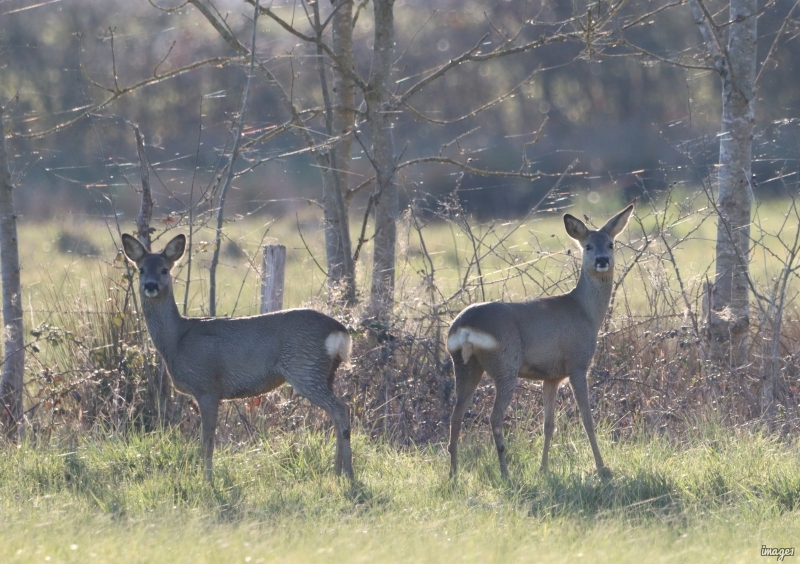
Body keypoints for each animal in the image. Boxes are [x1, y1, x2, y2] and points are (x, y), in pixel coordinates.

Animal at [121, 234, 354, 480]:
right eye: (141, 269)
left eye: (165, 270)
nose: (151, 285)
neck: (177, 340)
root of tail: (340, 331)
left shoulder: (207, 386)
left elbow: (207, 441)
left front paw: (207, 480)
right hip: (324, 372)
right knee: (336, 414)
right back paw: (337, 472)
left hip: (305, 368)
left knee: (341, 409)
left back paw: (348, 473)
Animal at [446, 205, 636, 478]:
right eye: (588, 246)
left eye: (611, 244)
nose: (603, 260)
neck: (585, 312)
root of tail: (464, 328)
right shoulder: (577, 363)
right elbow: (587, 419)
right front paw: (602, 468)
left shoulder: (551, 376)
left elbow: (549, 424)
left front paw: (543, 468)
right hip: (505, 365)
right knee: (494, 417)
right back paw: (505, 473)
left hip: (465, 366)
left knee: (455, 415)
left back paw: (454, 474)